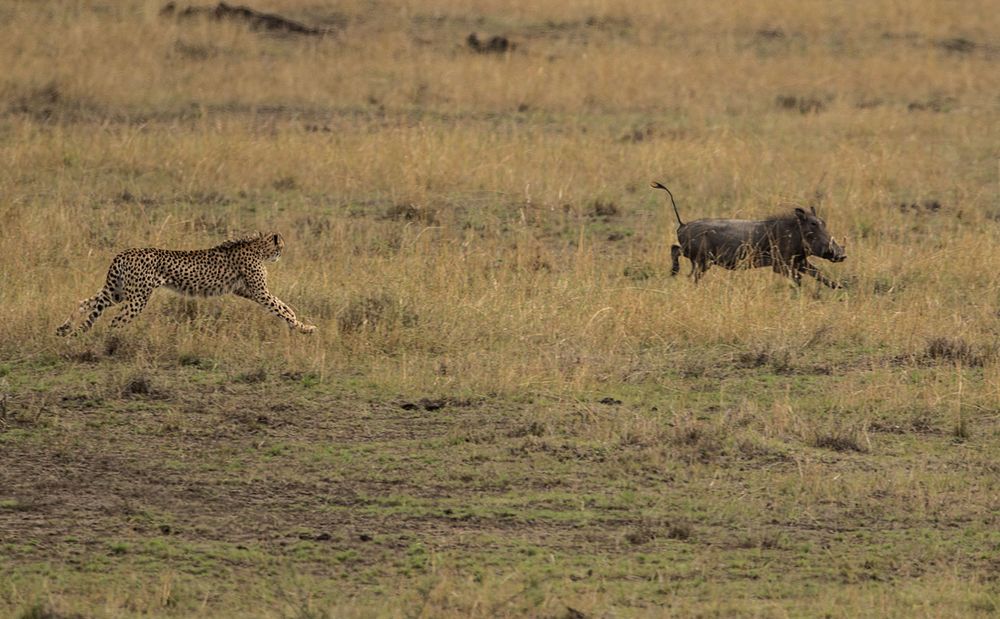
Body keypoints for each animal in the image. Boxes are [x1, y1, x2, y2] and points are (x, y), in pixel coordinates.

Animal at [53, 232, 316, 336]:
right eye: (281, 246)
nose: (283, 254)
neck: (258, 248)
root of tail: (124, 252)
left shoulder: (246, 291)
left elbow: (282, 305)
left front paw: (297, 320)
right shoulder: (259, 292)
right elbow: (279, 307)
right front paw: (304, 327)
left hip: (116, 293)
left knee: (85, 302)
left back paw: (65, 327)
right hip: (137, 298)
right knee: (116, 321)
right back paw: (114, 343)